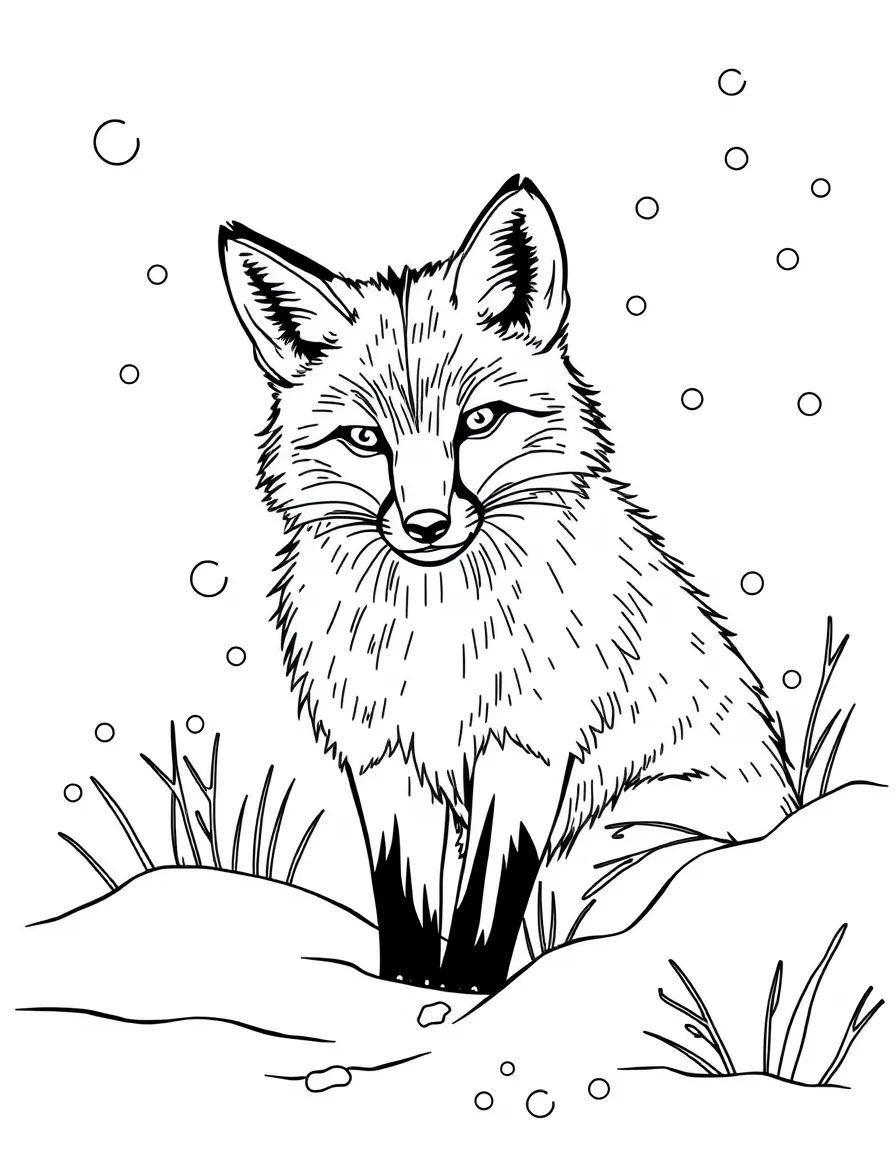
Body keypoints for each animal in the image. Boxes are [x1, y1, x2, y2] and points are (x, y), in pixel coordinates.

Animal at [219, 176, 797, 993]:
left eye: (480, 421)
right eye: (366, 439)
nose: (427, 526)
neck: (436, 638)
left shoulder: (526, 752)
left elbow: (487, 906)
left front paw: (467, 993)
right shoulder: (388, 762)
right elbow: (404, 904)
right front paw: (405, 991)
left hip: (613, 839)